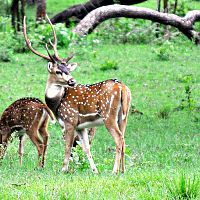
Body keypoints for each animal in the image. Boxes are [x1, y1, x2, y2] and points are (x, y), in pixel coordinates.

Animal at [23, 15, 131, 173]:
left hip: (108, 114)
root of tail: (122, 88)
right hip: (123, 116)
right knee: (123, 138)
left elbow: (68, 147)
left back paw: (114, 171)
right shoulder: (81, 126)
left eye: (68, 70)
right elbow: (86, 148)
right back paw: (123, 171)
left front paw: (63, 170)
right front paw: (95, 171)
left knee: (119, 139)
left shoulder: (69, 121)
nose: (72, 81)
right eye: (58, 71)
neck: (57, 104)